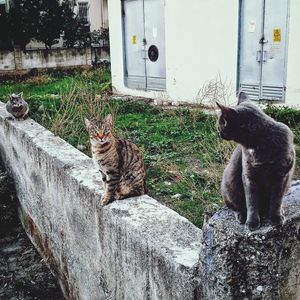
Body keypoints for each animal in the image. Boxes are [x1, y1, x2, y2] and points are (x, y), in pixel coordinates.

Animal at [216, 92, 296, 231]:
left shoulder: (282, 175)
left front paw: (276, 217)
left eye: (221, 122)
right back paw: (242, 216)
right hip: (228, 185)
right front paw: (252, 222)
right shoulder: (249, 175)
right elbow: (251, 202)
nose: (218, 131)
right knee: (235, 206)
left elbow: (276, 199)